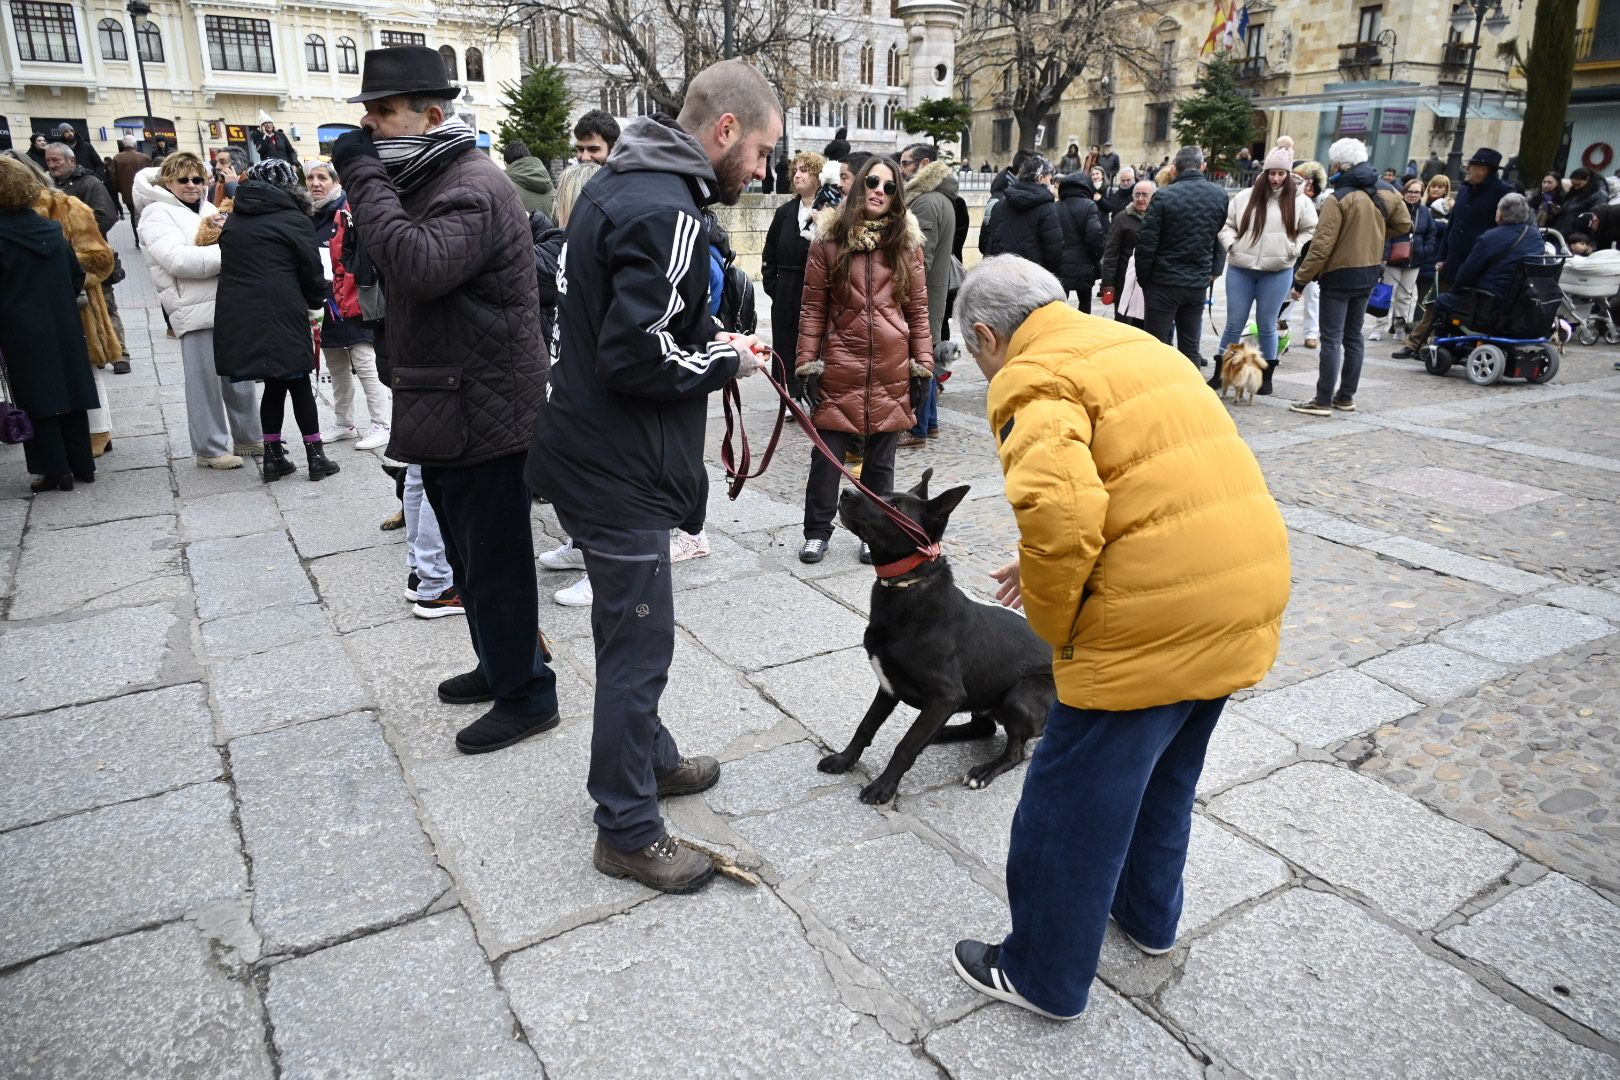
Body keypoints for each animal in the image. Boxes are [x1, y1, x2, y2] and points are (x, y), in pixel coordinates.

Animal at [816, 469, 1056, 806]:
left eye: (896, 507)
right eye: (884, 494)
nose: (847, 492)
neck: (908, 586)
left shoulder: (946, 697)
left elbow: (905, 746)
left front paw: (883, 787)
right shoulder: (888, 688)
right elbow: (865, 727)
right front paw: (843, 760)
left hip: (1020, 696)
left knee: (1015, 752)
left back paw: (983, 770)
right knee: (984, 726)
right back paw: (944, 733)